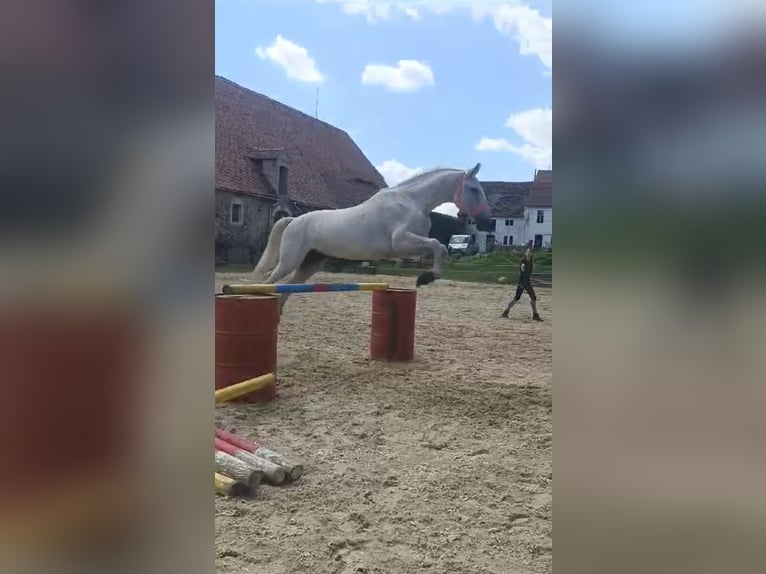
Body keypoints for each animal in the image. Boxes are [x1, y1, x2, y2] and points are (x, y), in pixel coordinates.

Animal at [252, 164, 492, 308]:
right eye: (474, 190)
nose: (486, 222)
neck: (412, 201)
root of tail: (293, 220)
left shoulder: (410, 248)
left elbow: (438, 248)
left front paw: (426, 276)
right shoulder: (401, 242)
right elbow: (436, 245)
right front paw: (425, 278)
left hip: (310, 264)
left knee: (286, 290)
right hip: (290, 261)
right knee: (269, 281)